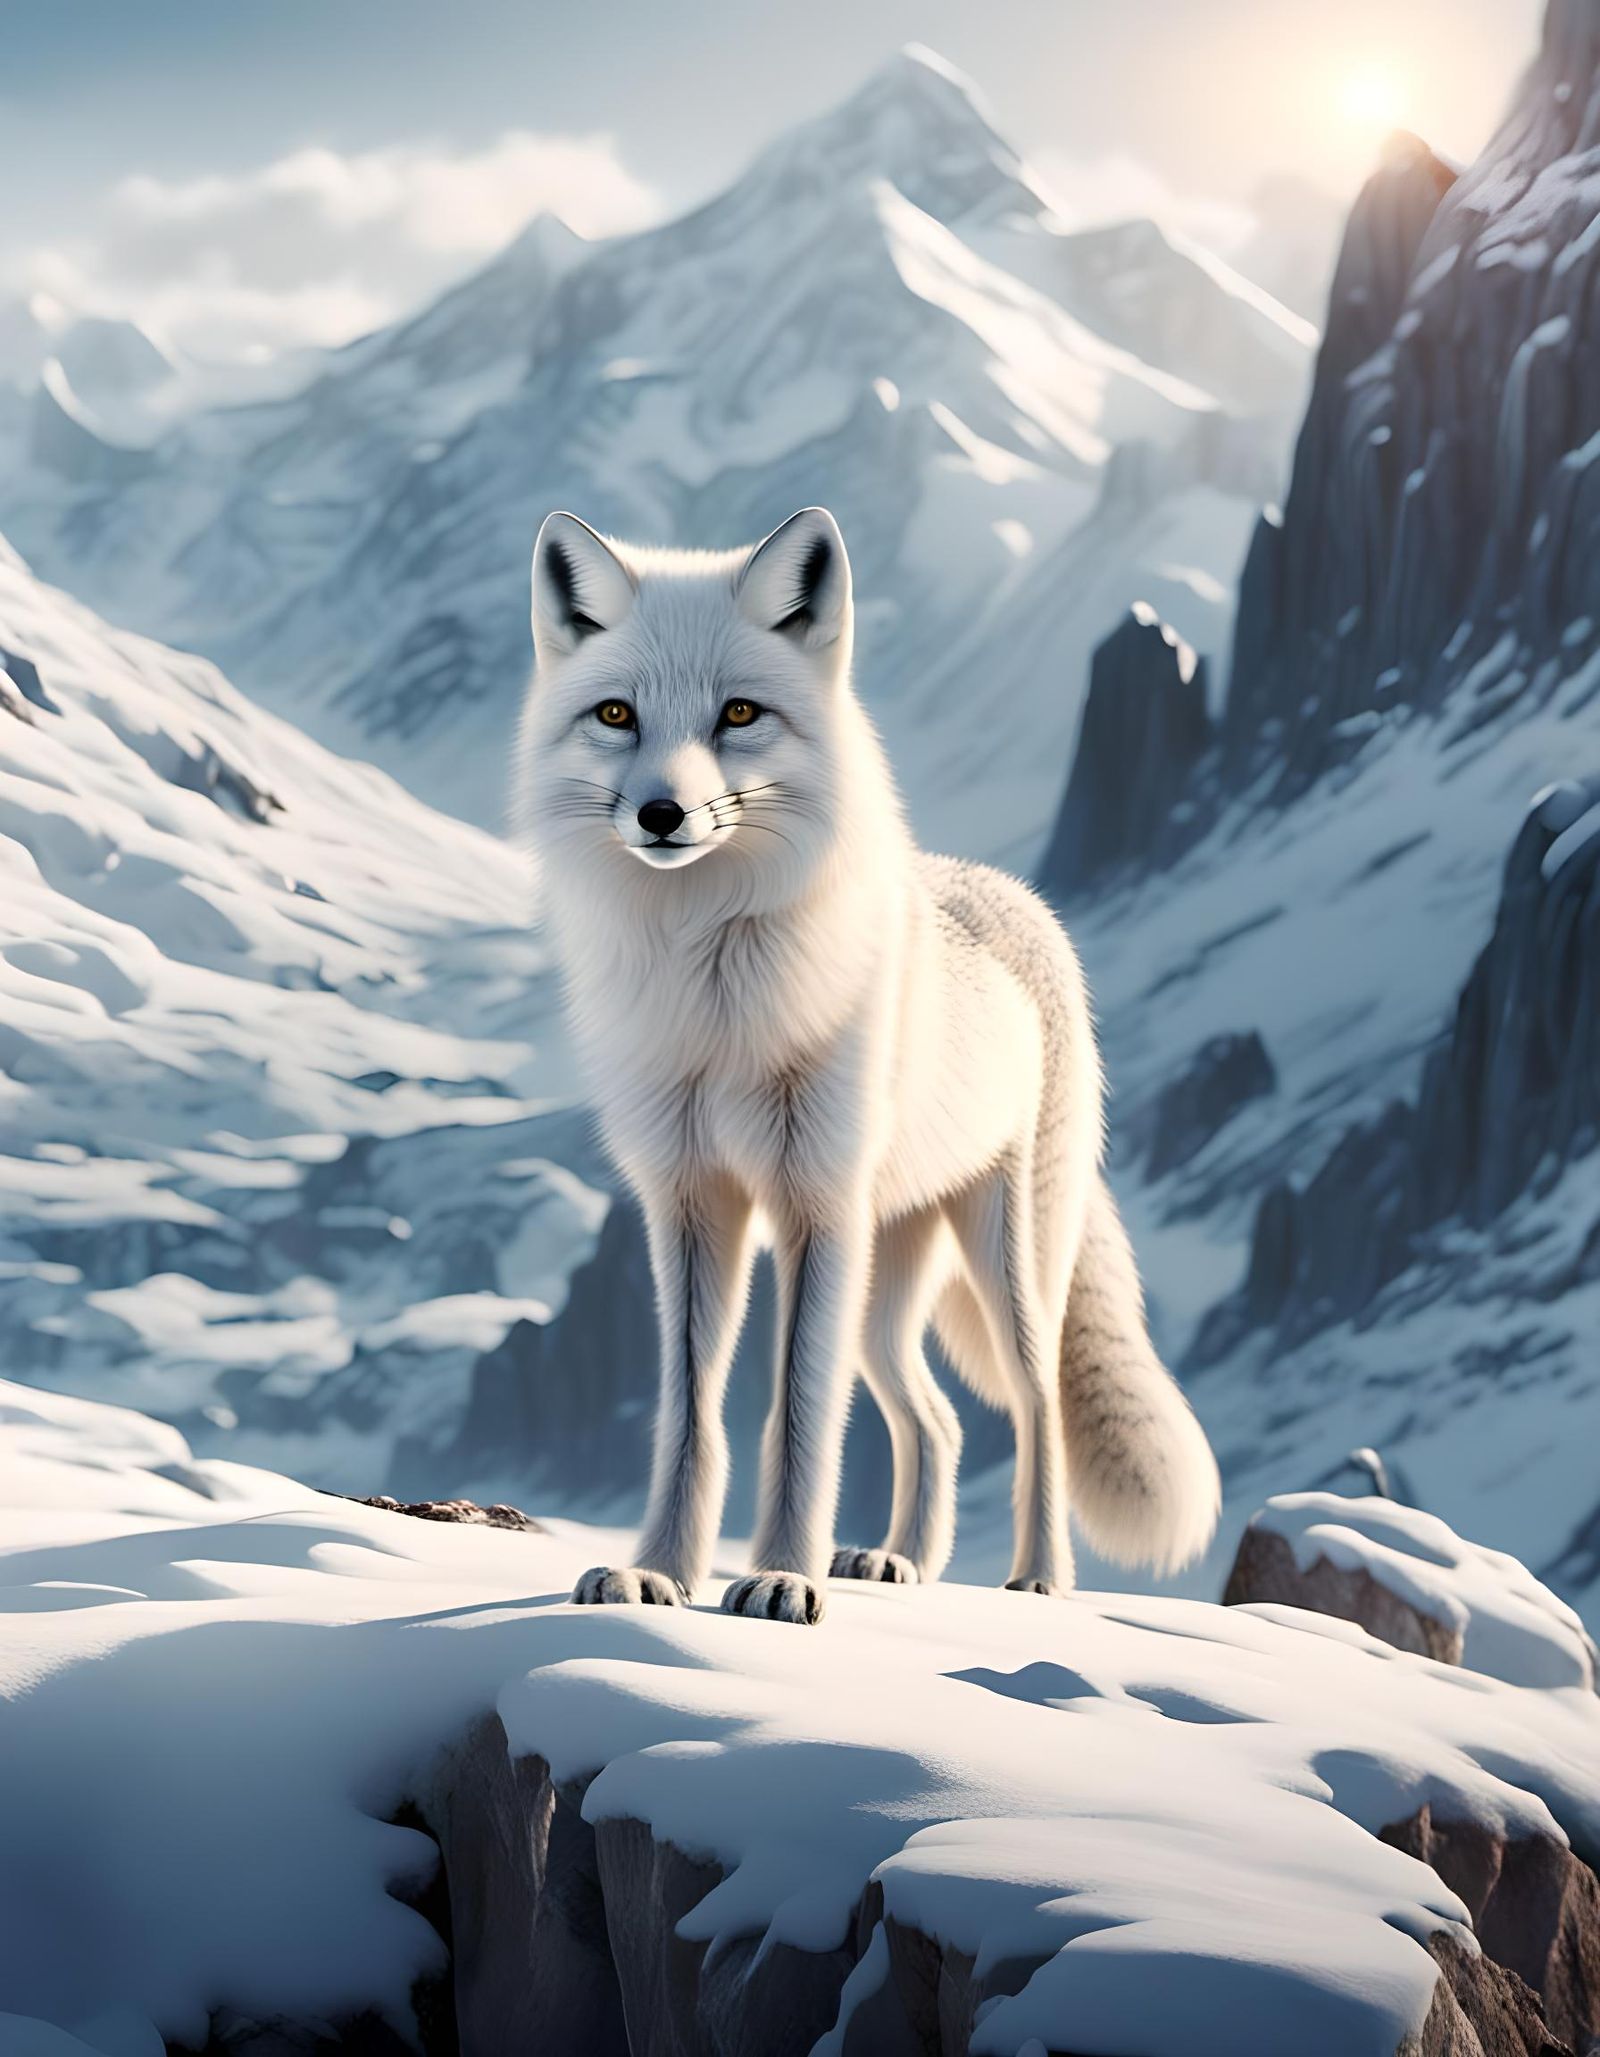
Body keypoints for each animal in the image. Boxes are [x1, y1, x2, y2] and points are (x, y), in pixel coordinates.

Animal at [518, 504, 1220, 1625]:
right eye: (616, 714)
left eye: (741, 712)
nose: (663, 815)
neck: (715, 991)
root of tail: (1007, 895)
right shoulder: (690, 1203)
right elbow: (692, 1414)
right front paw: (659, 1572)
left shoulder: (814, 1202)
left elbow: (799, 1414)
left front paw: (780, 1576)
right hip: (886, 1289)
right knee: (935, 1417)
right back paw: (900, 1561)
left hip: (997, 1262)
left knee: (1035, 1407)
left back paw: (1036, 1576)